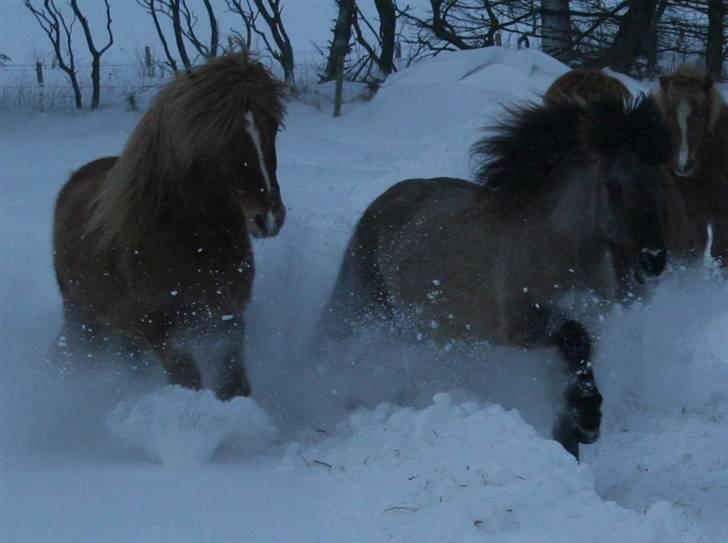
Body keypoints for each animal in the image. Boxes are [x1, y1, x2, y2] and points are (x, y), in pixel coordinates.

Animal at [53, 52, 288, 400]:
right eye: (221, 136)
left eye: (272, 127)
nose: (269, 218)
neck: (192, 242)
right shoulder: (162, 330)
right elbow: (188, 380)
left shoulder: (227, 318)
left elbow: (234, 383)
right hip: (83, 316)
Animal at [322, 96, 680, 460]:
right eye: (612, 185)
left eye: (660, 182)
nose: (653, 259)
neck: (562, 251)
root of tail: (384, 201)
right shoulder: (522, 326)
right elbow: (574, 339)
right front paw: (588, 417)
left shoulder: (590, 327)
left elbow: (576, 365)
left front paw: (574, 432)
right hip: (365, 306)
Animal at [656, 63, 728, 268]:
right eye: (669, 114)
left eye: (701, 114)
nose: (683, 165)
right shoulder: (691, 216)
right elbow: (693, 252)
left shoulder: (722, 216)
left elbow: (720, 253)